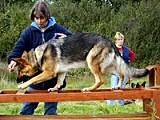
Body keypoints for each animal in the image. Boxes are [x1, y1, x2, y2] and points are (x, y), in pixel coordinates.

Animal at [13, 32, 149, 91]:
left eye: (20, 71)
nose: (16, 81)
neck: (37, 55)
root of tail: (109, 41)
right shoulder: (62, 72)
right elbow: (59, 81)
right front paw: (55, 88)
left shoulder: (48, 73)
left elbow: (33, 79)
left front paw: (23, 85)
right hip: (108, 67)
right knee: (122, 74)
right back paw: (118, 86)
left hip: (91, 62)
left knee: (101, 80)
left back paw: (89, 89)